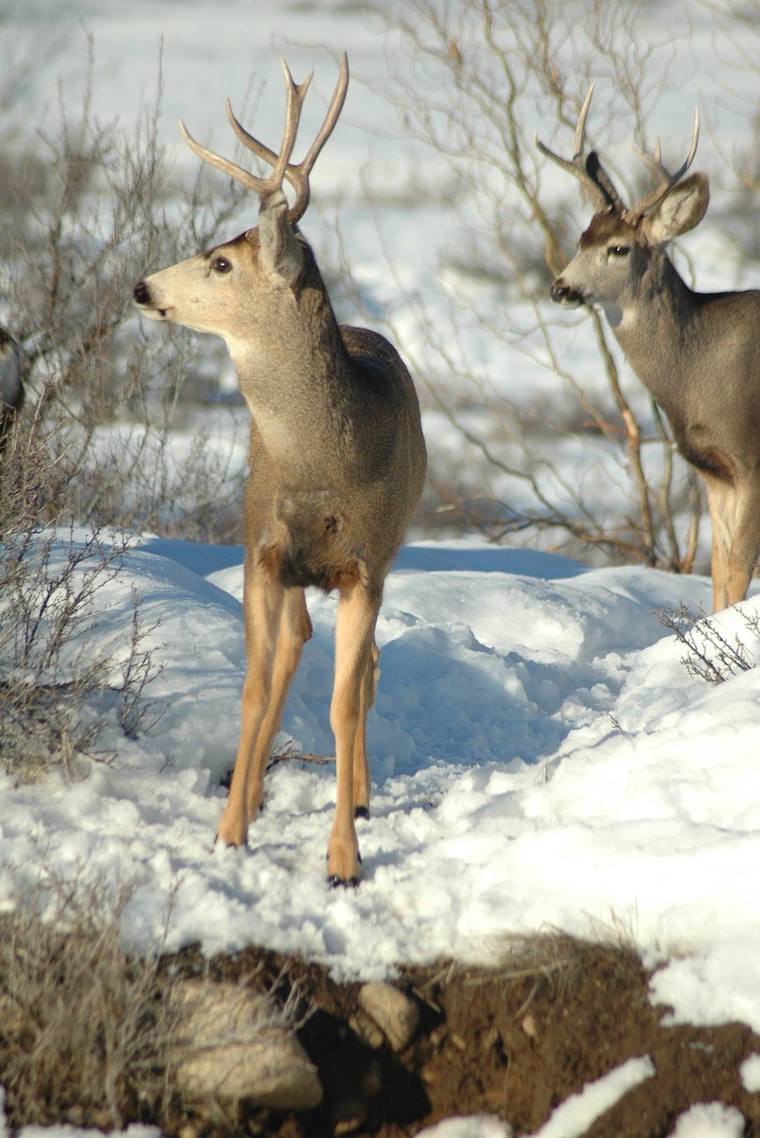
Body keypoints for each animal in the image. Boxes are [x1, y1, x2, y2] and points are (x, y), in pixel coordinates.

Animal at [133, 54, 426, 886]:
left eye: (221, 261)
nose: (141, 287)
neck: (324, 464)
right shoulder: (260, 548)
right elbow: (256, 688)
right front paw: (231, 831)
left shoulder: (364, 565)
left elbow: (343, 701)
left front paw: (344, 860)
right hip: (284, 561)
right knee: (293, 646)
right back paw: (256, 790)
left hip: (384, 557)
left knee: (366, 674)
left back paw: (358, 797)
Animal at [537, 86, 760, 611]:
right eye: (580, 239)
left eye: (619, 248)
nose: (560, 288)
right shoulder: (713, 470)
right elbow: (720, 573)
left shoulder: (752, 457)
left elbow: (739, 570)